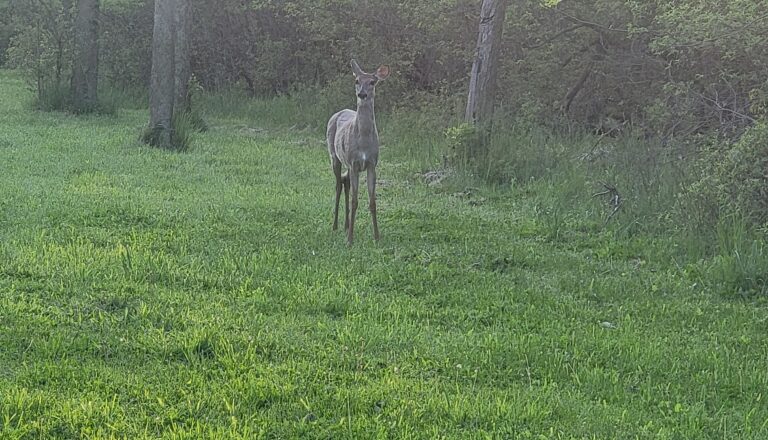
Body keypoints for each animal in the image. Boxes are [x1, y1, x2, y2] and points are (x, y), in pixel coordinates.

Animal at [326, 58, 390, 246]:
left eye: (373, 82)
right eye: (356, 80)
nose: (362, 94)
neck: (363, 141)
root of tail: (339, 112)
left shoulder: (371, 164)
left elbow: (372, 201)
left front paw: (377, 237)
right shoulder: (354, 163)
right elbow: (355, 201)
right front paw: (350, 240)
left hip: (347, 163)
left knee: (345, 182)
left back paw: (346, 224)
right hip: (334, 156)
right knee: (338, 184)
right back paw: (335, 225)